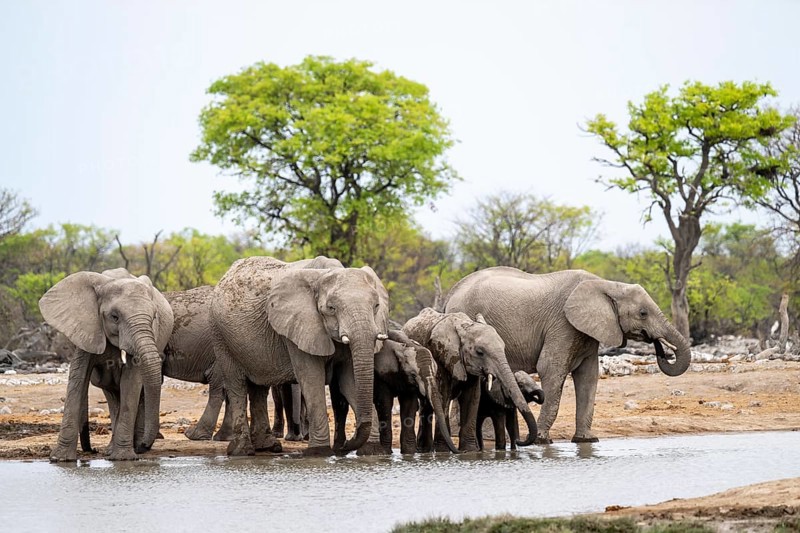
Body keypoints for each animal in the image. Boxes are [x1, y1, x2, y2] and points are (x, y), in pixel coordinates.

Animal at [39, 268, 174, 461]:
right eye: (114, 317)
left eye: (154, 317)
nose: (92, 450)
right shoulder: (87, 328)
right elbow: (78, 379)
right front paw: (61, 459)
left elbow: (131, 382)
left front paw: (123, 459)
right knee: (112, 394)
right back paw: (115, 449)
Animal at [210, 256, 389, 456]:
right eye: (331, 308)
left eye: (376, 306)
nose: (344, 446)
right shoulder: (297, 329)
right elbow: (312, 380)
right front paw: (319, 452)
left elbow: (348, 381)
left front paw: (372, 451)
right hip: (220, 336)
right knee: (237, 385)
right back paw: (242, 451)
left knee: (259, 388)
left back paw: (267, 446)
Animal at [329, 330, 458, 455]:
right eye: (413, 374)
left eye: (436, 372)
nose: (458, 452)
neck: (404, 346)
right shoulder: (380, 375)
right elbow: (385, 404)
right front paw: (387, 452)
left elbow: (409, 406)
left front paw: (409, 453)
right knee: (341, 404)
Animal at [402, 308, 538, 453]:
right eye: (480, 352)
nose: (521, 440)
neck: (464, 326)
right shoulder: (440, 356)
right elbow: (443, 395)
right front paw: (443, 451)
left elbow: (472, 397)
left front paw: (469, 451)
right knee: (427, 404)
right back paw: (425, 449)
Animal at [444, 267, 692, 444]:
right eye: (642, 313)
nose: (660, 347)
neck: (606, 284)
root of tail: (450, 294)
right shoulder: (562, 324)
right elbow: (551, 369)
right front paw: (543, 441)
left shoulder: (586, 332)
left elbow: (589, 376)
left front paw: (587, 440)